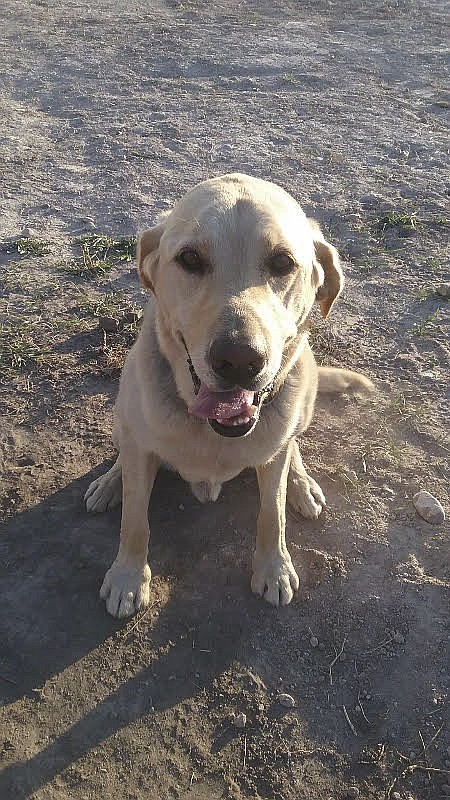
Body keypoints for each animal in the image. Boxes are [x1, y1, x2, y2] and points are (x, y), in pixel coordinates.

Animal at [84, 172, 372, 616]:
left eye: (282, 262)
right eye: (189, 259)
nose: (238, 360)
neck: (212, 431)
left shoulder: (272, 461)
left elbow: (272, 513)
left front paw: (273, 567)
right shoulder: (140, 448)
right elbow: (135, 518)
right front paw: (128, 576)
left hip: (302, 398)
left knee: (292, 447)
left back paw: (301, 483)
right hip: (122, 415)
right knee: (127, 455)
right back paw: (111, 480)